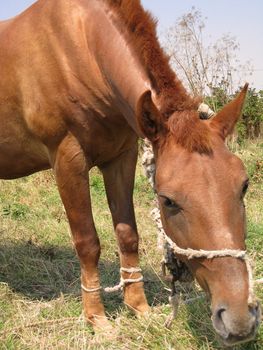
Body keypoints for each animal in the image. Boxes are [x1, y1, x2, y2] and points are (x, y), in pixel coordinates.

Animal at [0, 0, 260, 344]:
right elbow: (88, 242)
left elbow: (128, 235)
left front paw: (139, 307)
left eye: (243, 186)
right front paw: (97, 318)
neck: (78, 46)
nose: (239, 318)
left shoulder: (122, 157)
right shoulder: (67, 160)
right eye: (167, 200)